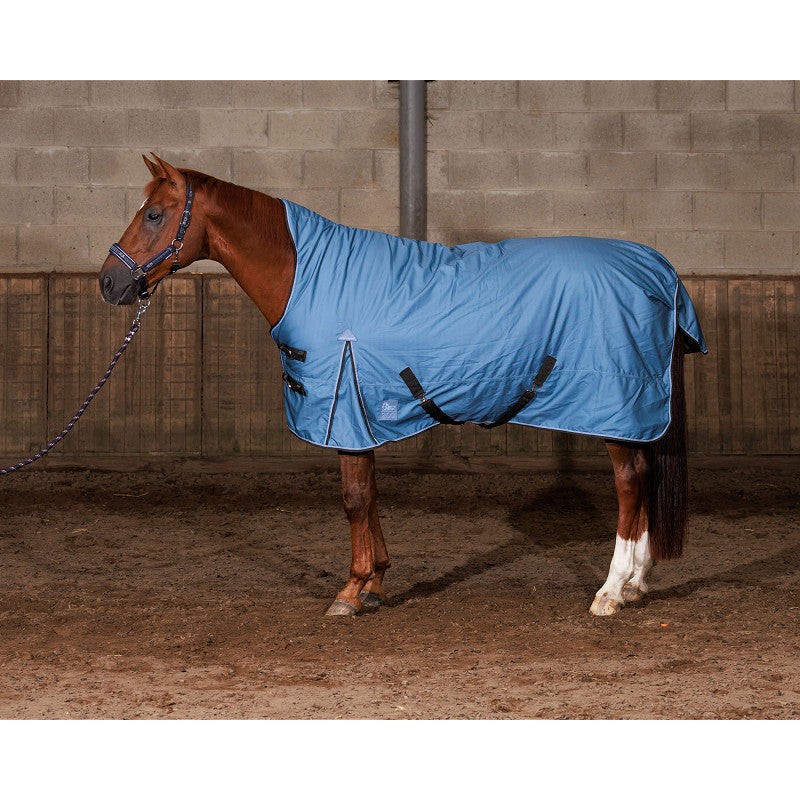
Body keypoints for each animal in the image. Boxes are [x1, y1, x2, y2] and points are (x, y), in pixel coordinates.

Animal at [99, 154, 706, 618]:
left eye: (154, 214)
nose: (109, 282)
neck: (307, 275)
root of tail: (657, 268)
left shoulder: (342, 409)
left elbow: (353, 498)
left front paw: (349, 592)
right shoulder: (359, 412)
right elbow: (369, 495)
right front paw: (376, 581)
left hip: (616, 407)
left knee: (630, 484)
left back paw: (610, 592)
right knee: (644, 477)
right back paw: (637, 584)